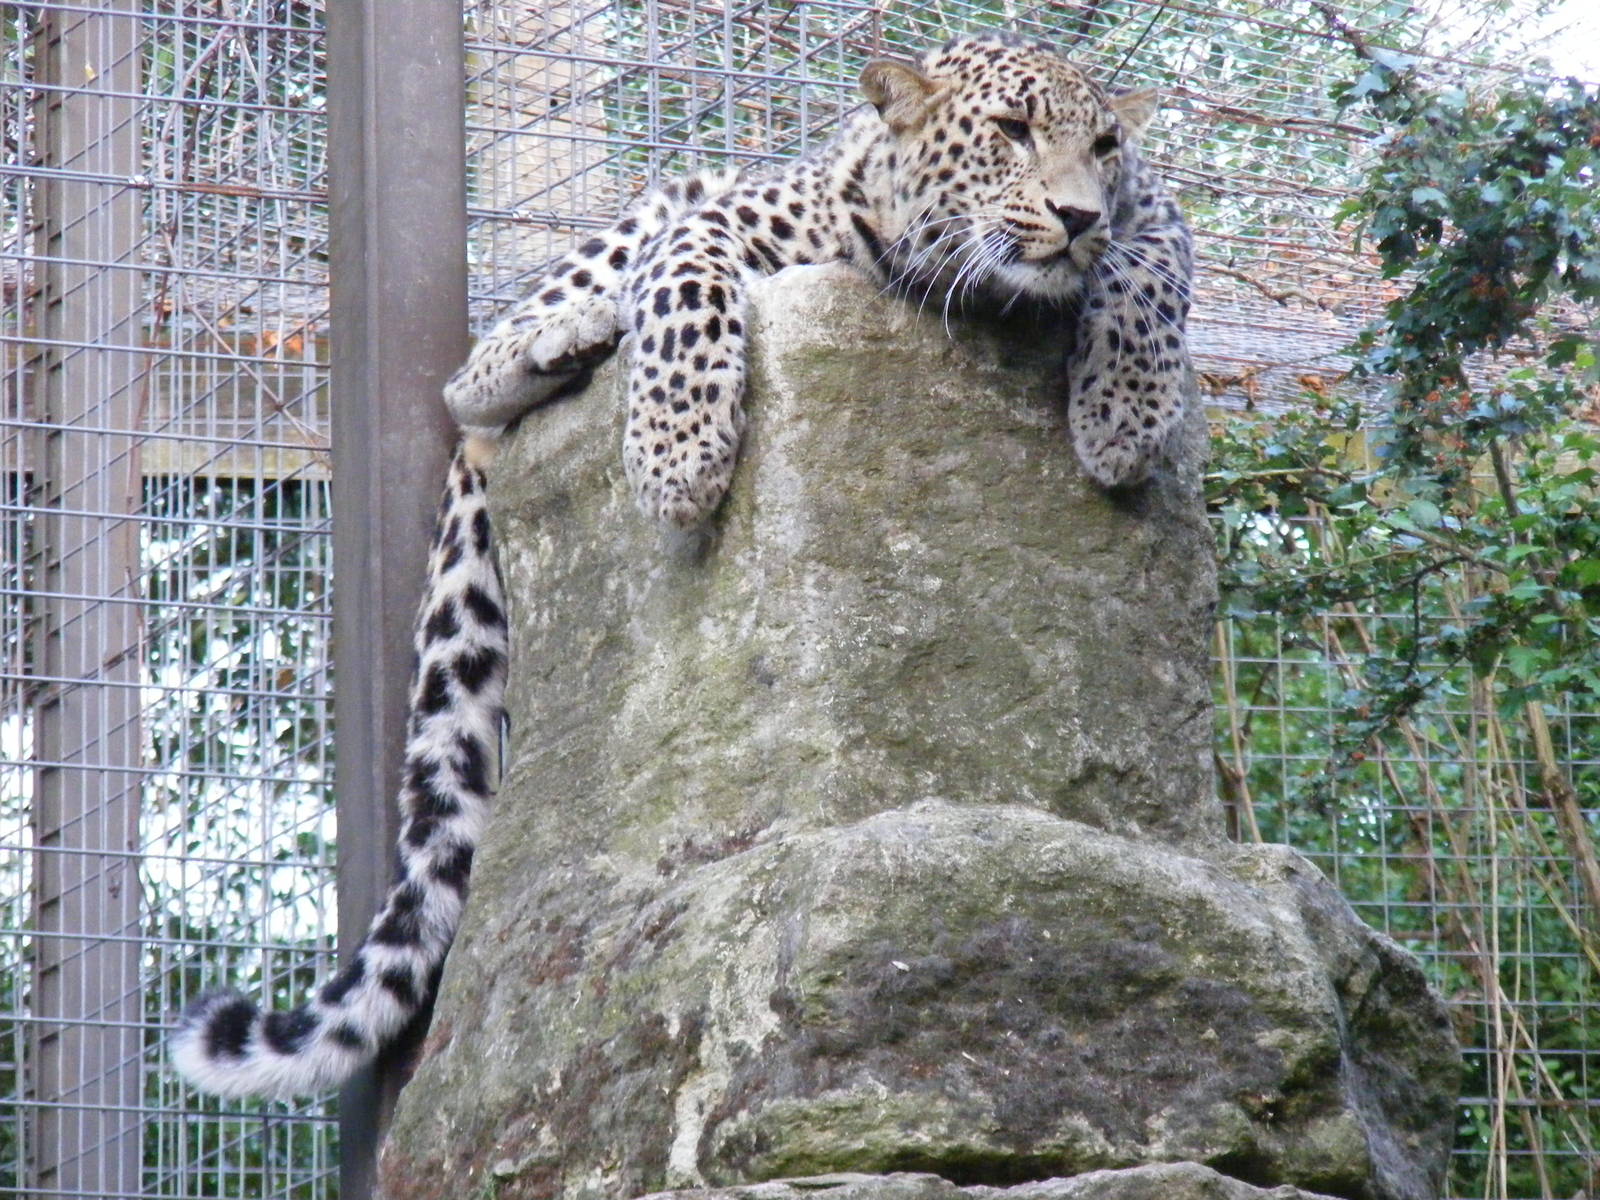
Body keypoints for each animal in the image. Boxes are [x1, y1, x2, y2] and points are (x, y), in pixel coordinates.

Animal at [170, 32, 1193, 1099]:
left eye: (1106, 147)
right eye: (1012, 131)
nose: (1077, 215)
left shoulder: (1155, 213)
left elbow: (1150, 271)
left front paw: (1122, 419)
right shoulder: (723, 217)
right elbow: (685, 284)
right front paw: (676, 458)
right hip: (644, 217)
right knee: (475, 379)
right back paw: (563, 339)